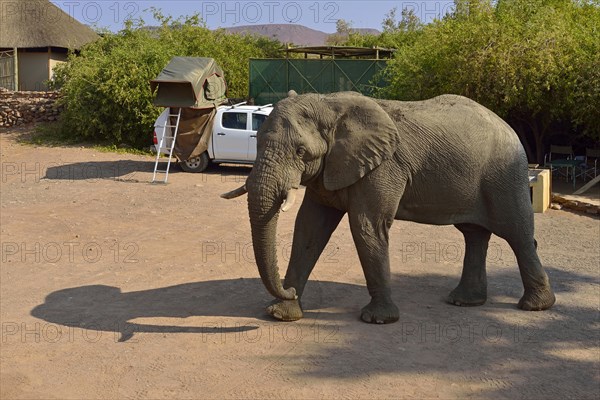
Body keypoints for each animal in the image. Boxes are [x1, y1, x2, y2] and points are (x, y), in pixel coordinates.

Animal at [223, 91, 556, 324]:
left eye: (301, 151)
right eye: (257, 141)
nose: (286, 289)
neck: (329, 105)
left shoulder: (382, 167)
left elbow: (366, 226)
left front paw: (378, 319)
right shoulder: (331, 168)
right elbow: (309, 227)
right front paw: (281, 313)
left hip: (504, 175)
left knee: (517, 233)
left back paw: (536, 306)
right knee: (474, 234)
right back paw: (464, 301)